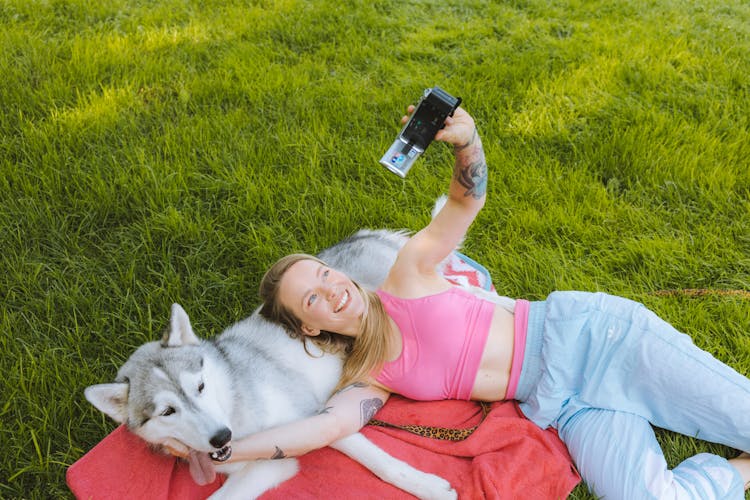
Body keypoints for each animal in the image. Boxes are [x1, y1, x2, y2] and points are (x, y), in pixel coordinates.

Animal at [83, 229, 458, 498]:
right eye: (167, 411)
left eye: (200, 386)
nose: (221, 437)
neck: (237, 405)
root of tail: (363, 236)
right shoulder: (273, 462)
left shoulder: (312, 415)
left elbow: (378, 461)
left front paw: (427, 487)